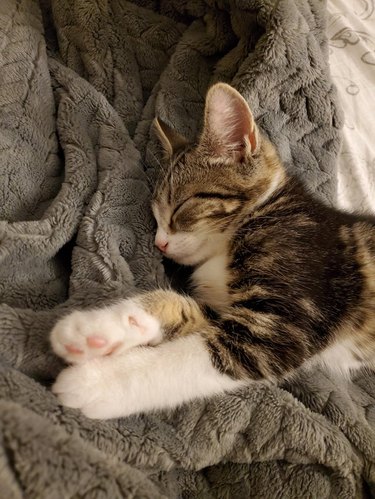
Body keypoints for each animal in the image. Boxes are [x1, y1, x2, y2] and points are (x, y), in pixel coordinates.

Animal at [50, 84, 375, 420]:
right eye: (155, 216)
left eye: (179, 208)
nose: (159, 243)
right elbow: (181, 306)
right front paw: (98, 328)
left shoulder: (285, 322)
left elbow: (193, 359)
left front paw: (97, 382)